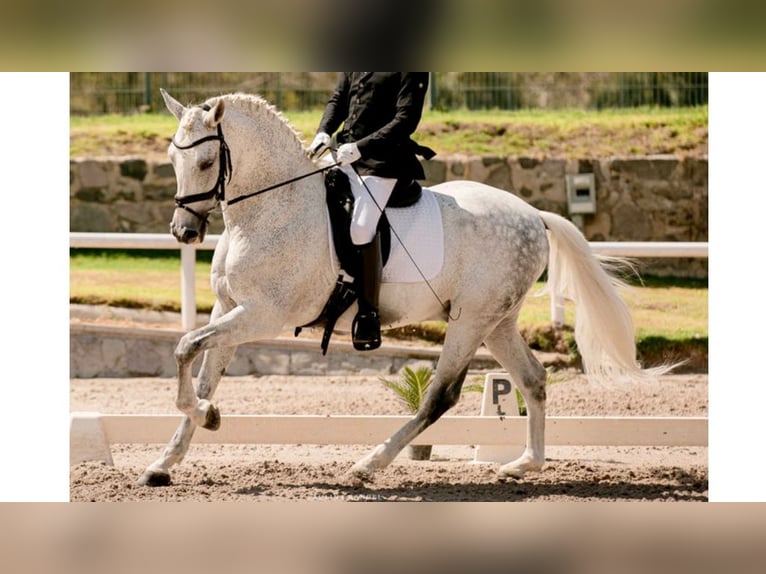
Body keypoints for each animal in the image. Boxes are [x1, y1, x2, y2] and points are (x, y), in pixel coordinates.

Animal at [140, 92, 672, 488]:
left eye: (207, 160)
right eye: (171, 158)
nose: (184, 232)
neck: (274, 208)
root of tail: (533, 215)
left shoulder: (262, 313)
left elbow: (184, 348)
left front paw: (207, 417)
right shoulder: (227, 309)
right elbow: (200, 370)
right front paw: (167, 460)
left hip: (470, 321)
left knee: (441, 395)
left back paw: (368, 465)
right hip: (496, 321)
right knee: (534, 379)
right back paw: (524, 464)